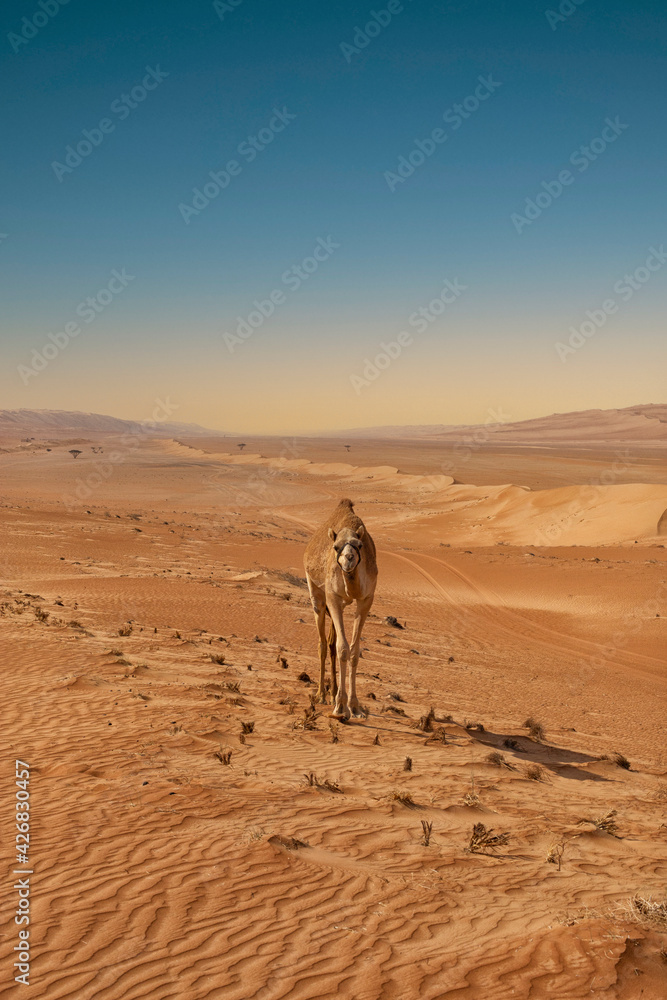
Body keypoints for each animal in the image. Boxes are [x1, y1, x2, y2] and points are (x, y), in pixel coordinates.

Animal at [306, 500, 378, 720]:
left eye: (360, 545)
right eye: (336, 547)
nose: (348, 558)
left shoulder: (366, 599)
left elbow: (353, 650)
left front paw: (354, 707)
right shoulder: (333, 597)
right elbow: (343, 648)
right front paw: (340, 707)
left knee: (330, 643)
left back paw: (332, 693)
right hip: (317, 595)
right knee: (322, 643)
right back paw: (322, 694)